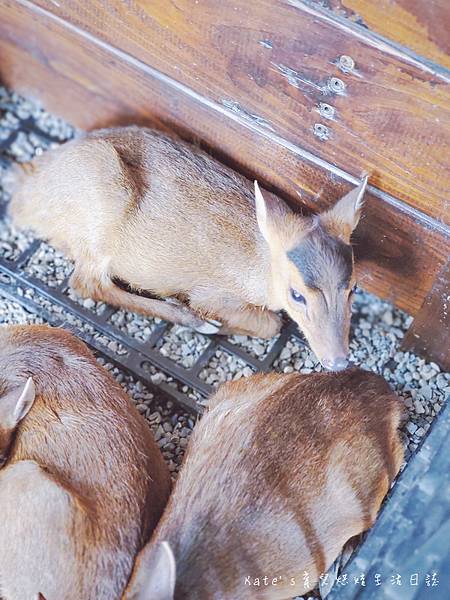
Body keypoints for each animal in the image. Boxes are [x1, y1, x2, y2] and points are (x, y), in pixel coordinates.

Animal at [8, 125, 368, 370]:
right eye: (297, 295)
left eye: (352, 288)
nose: (338, 361)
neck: (261, 271)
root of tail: (25, 193)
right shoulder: (213, 293)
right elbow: (271, 324)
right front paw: (211, 320)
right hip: (100, 206)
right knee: (85, 282)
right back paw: (193, 318)